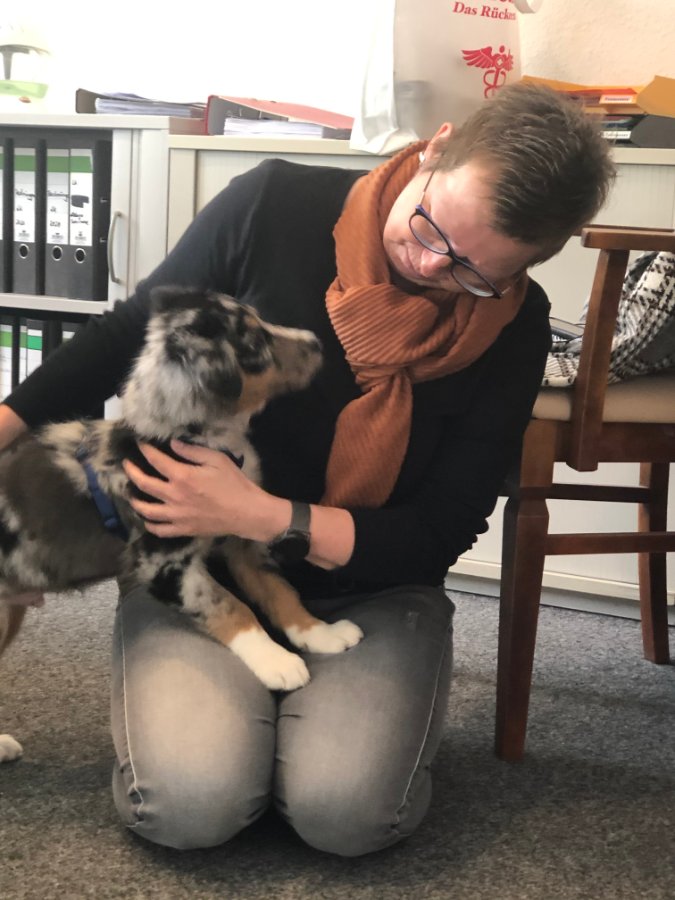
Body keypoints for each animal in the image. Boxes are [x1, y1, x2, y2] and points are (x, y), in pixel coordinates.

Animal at [0, 286, 363, 761]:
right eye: (256, 345)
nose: (317, 341)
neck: (194, 438)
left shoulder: (242, 536)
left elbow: (280, 591)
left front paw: (320, 634)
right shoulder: (164, 563)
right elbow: (230, 604)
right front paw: (277, 661)